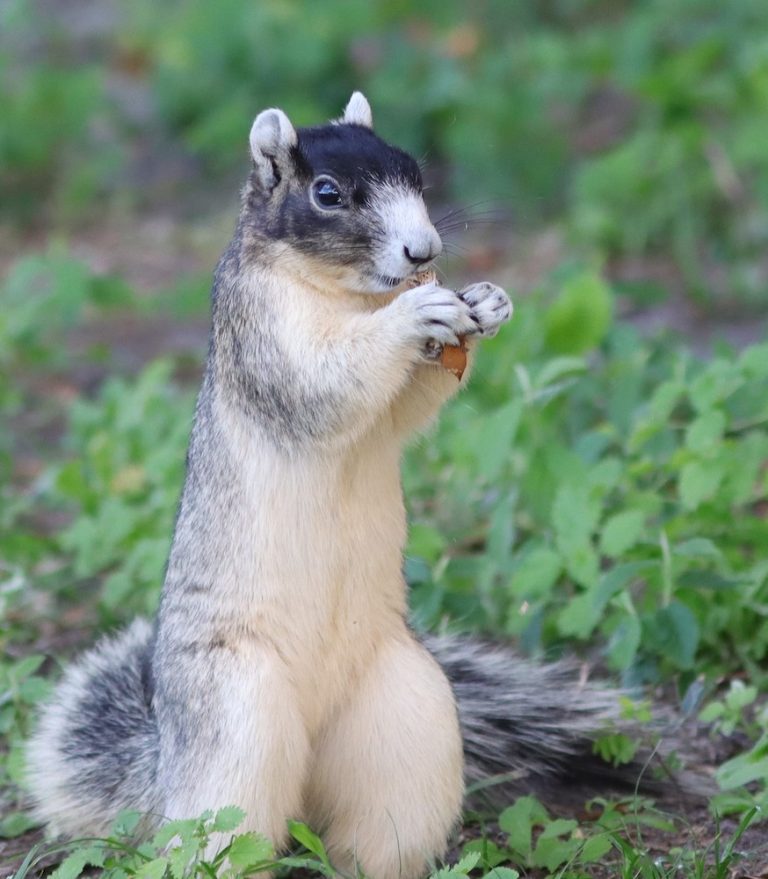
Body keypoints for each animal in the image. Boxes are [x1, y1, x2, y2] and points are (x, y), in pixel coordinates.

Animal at [27, 94, 656, 879]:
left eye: (416, 172)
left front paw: (487, 301)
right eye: (328, 193)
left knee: (377, 832)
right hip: (235, 717)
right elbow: (322, 387)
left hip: (408, 717)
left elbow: (403, 409)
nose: (424, 253)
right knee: (216, 831)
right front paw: (416, 315)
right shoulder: (260, 337)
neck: (350, 299)